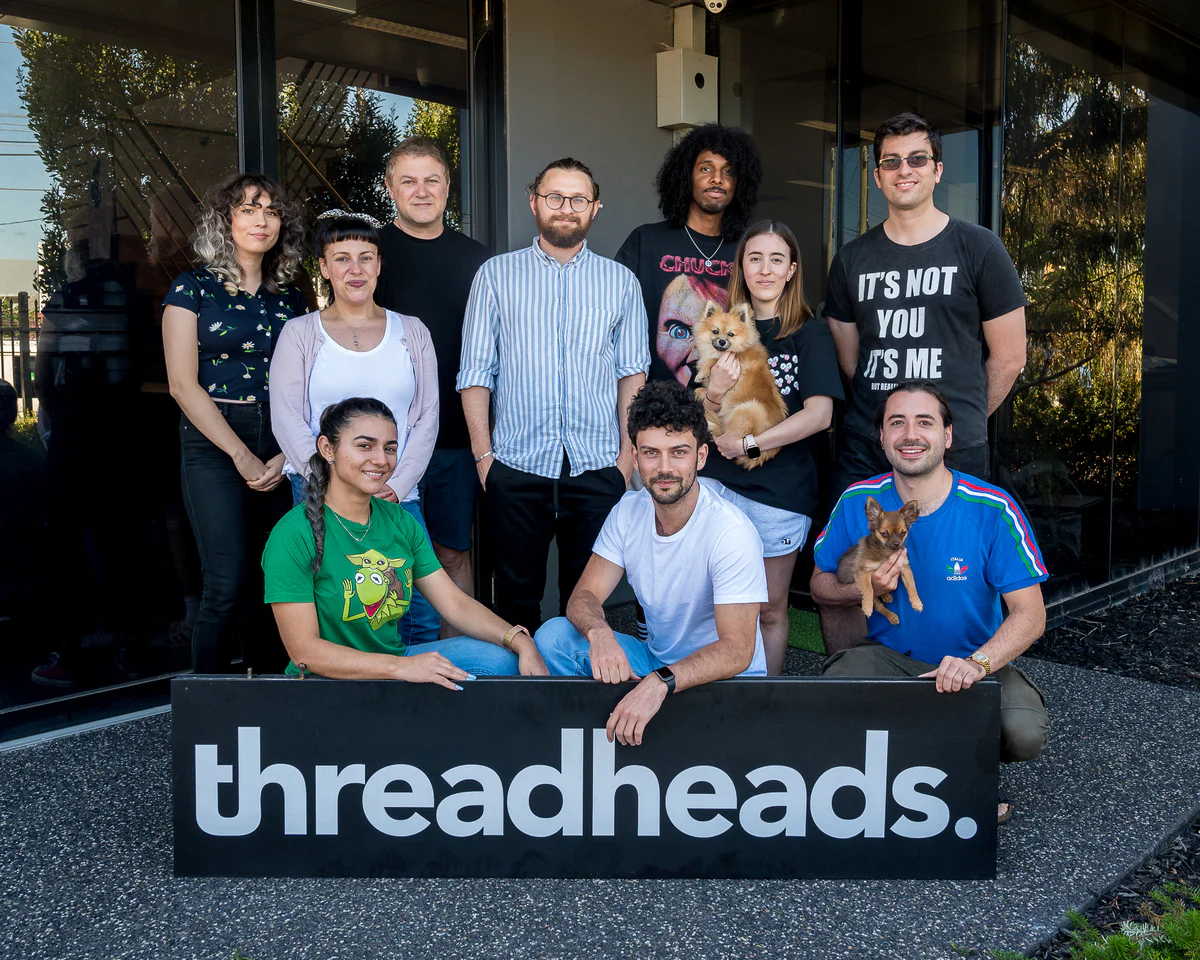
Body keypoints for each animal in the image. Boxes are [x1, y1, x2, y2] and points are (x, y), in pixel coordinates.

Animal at [691, 297, 792, 468]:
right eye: (715, 331)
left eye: (731, 334)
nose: (722, 341)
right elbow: (701, 390)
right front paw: (699, 392)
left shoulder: (737, 363)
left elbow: (712, 361)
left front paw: (702, 372)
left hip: (750, 409)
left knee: (724, 435)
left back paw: (711, 424)